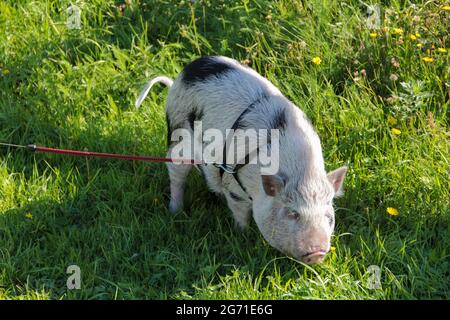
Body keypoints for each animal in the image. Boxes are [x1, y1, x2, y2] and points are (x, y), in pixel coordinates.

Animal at [135, 56, 346, 264]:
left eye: (328, 216)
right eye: (292, 213)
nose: (317, 252)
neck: (300, 171)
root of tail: (179, 80)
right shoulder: (234, 186)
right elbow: (240, 213)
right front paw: (242, 236)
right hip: (179, 137)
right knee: (175, 173)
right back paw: (176, 211)